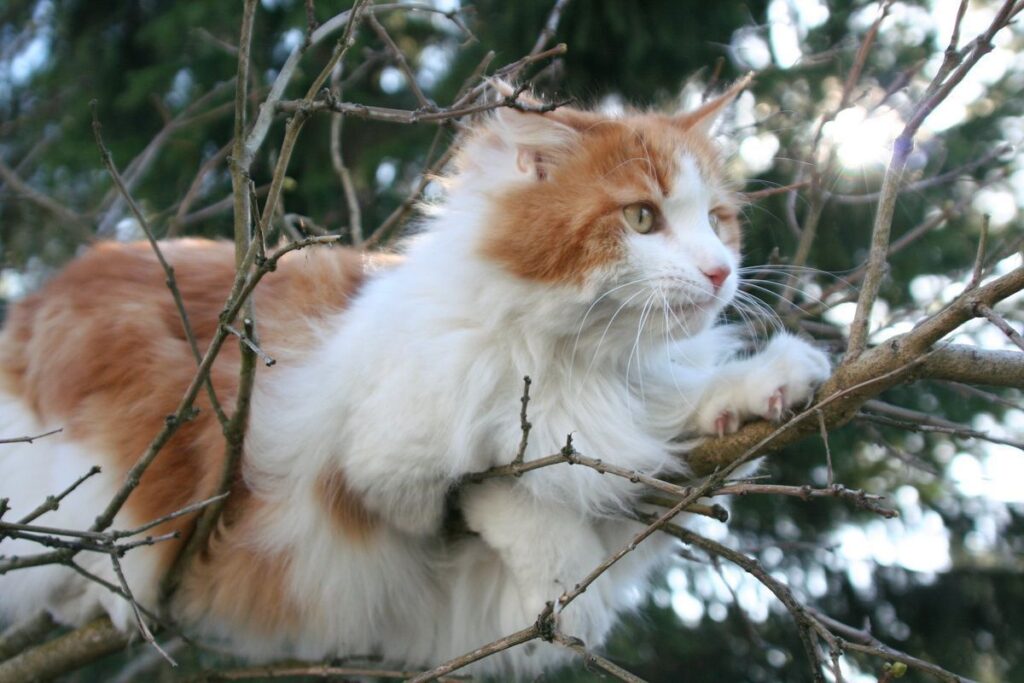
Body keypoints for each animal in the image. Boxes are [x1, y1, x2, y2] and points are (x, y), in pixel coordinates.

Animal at [0, 82, 831, 679]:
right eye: (643, 218)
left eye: (717, 221)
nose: (720, 272)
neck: (579, 363)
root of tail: (39, 295)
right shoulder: (381, 467)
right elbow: (512, 507)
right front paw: (522, 509)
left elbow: (641, 482)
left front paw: (761, 386)